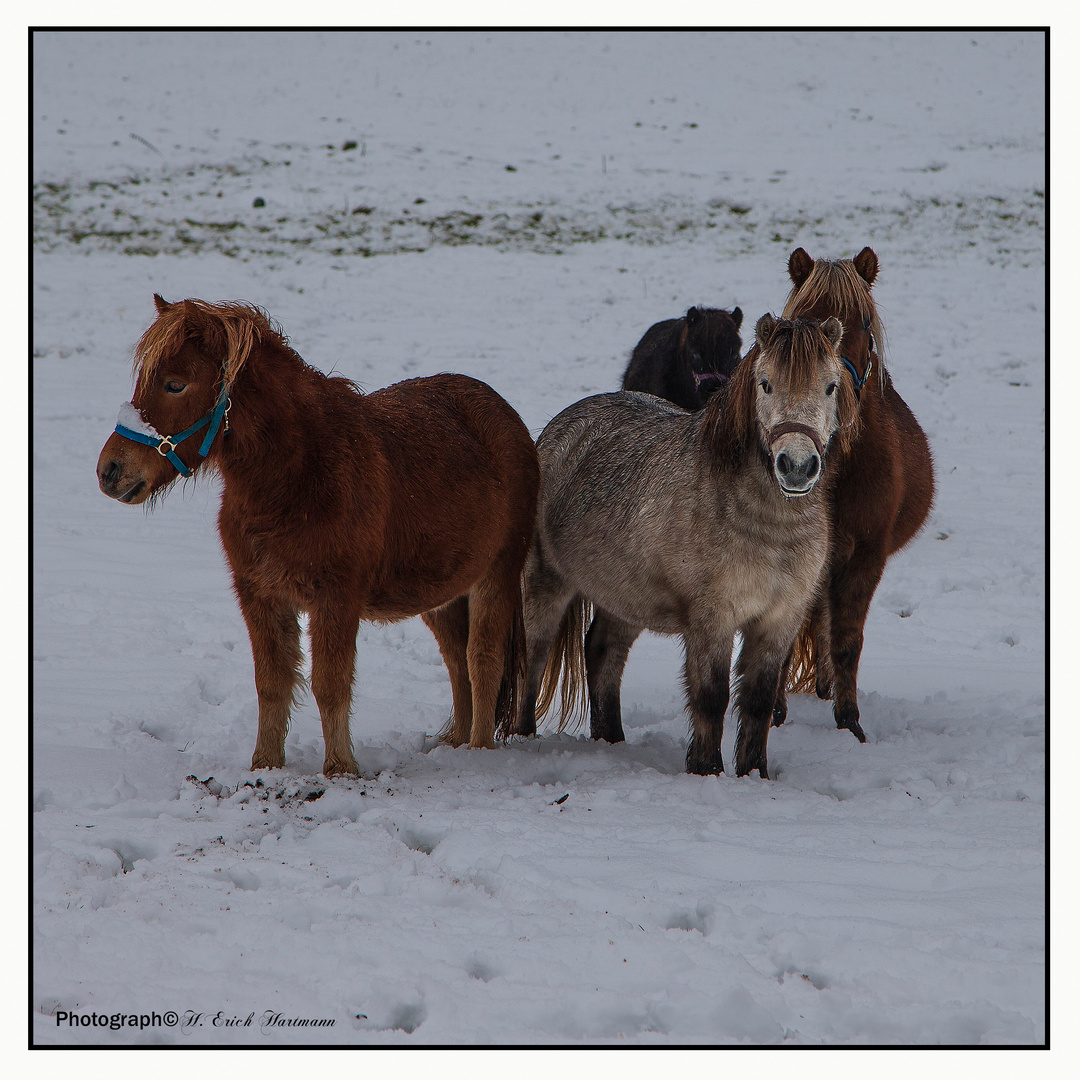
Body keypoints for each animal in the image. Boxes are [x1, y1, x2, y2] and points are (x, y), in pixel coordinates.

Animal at [98, 295, 540, 777]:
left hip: (495, 577)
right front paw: (265, 766)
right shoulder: (260, 595)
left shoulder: (336, 598)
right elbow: (271, 683)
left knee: (483, 660)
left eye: (175, 384)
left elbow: (330, 684)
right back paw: (458, 743)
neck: (303, 473)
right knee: (457, 660)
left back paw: (478, 752)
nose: (110, 470)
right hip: (440, 592)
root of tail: (504, 414)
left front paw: (341, 769)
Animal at [777, 249, 937, 743]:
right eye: (805, 321)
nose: (837, 397)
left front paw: (849, 720)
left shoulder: (867, 556)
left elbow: (847, 640)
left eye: (864, 322)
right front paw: (774, 712)